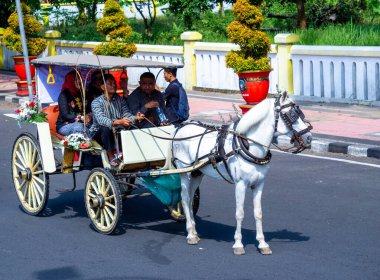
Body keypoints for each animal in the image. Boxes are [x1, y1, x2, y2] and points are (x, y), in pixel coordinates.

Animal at [166, 93, 312, 255]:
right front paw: (238, 244)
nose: (309, 138)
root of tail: (180, 128)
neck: (250, 147)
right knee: (185, 199)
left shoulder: (259, 184)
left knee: (191, 199)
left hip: (197, 173)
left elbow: (258, 213)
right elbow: (240, 213)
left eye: (299, 113)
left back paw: (193, 230)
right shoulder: (240, 184)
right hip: (184, 172)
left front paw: (262, 243)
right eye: (291, 115)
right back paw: (190, 234)